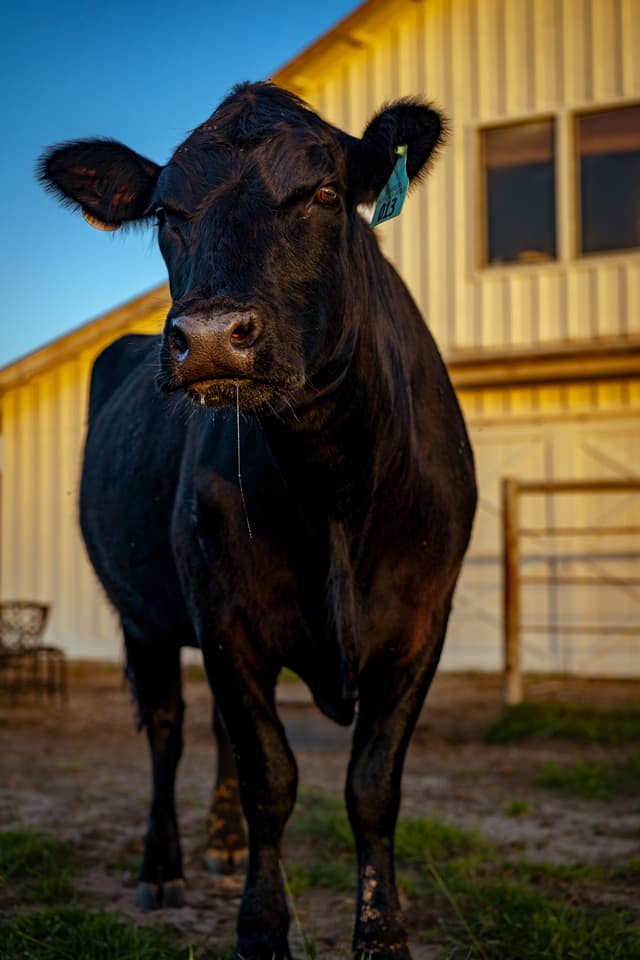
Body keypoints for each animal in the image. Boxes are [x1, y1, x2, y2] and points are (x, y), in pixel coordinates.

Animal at [38, 81, 476, 960]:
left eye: (326, 193)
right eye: (167, 213)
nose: (209, 338)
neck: (334, 483)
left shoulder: (422, 621)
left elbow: (372, 787)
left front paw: (382, 933)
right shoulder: (226, 618)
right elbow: (271, 776)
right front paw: (263, 929)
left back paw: (223, 842)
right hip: (143, 615)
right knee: (168, 729)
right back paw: (164, 867)